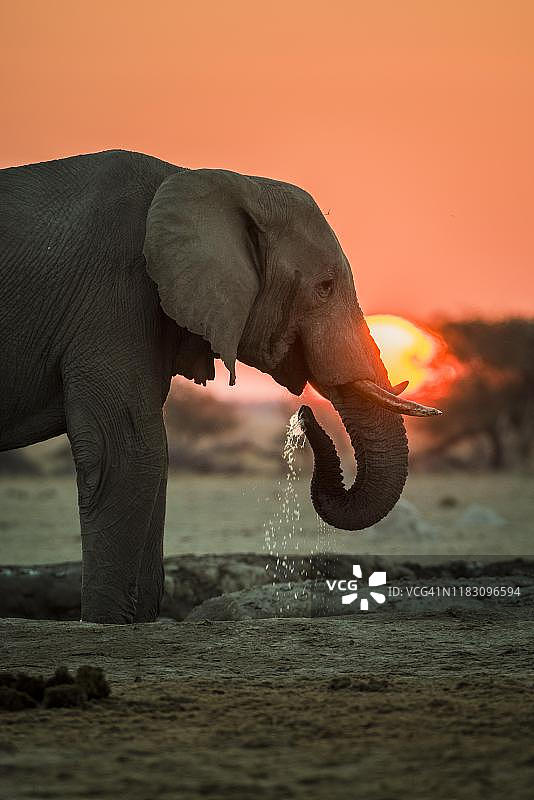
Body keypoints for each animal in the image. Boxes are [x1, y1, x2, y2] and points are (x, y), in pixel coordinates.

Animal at [0, 150, 440, 624]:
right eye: (324, 288)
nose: (304, 415)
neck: (207, 180)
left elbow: (155, 458)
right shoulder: (110, 298)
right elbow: (129, 452)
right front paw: (107, 623)